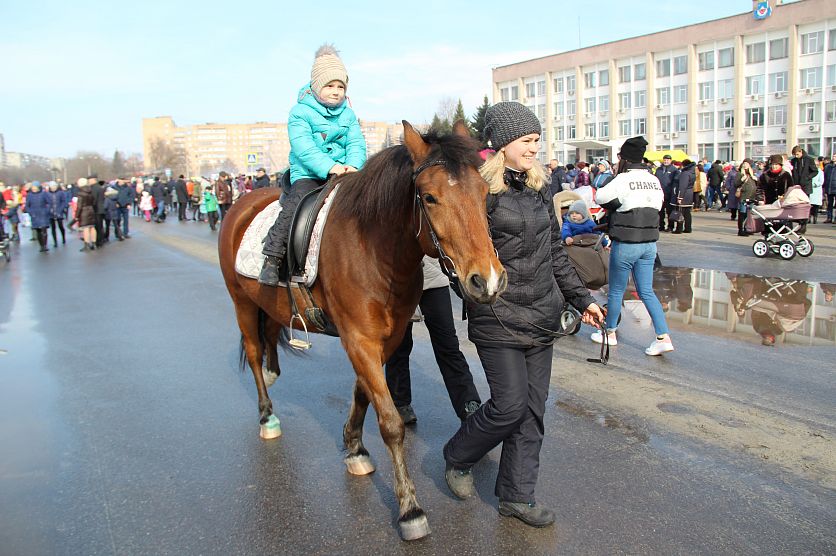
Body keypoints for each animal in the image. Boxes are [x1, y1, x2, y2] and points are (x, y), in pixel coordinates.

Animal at [218, 121, 507, 541]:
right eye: (430, 197)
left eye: (485, 193)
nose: (487, 280)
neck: (374, 248)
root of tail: (242, 204)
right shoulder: (359, 339)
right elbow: (390, 421)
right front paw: (410, 509)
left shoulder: (385, 338)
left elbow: (363, 393)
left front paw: (354, 448)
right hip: (240, 300)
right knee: (254, 352)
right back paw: (267, 416)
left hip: (268, 303)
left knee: (268, 339)